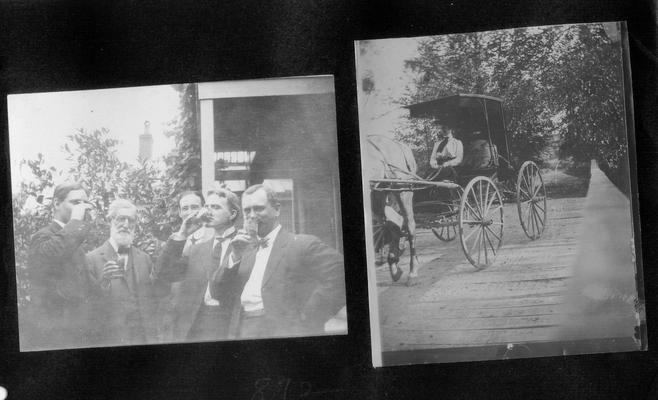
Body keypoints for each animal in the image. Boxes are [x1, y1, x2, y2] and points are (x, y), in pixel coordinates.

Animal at [362, 135, 418, 284]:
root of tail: (398, 144)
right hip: (378, 194)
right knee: (396, 222)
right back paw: (394, 266)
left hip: (402, 189)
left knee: (409, 225)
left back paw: (412, 272)